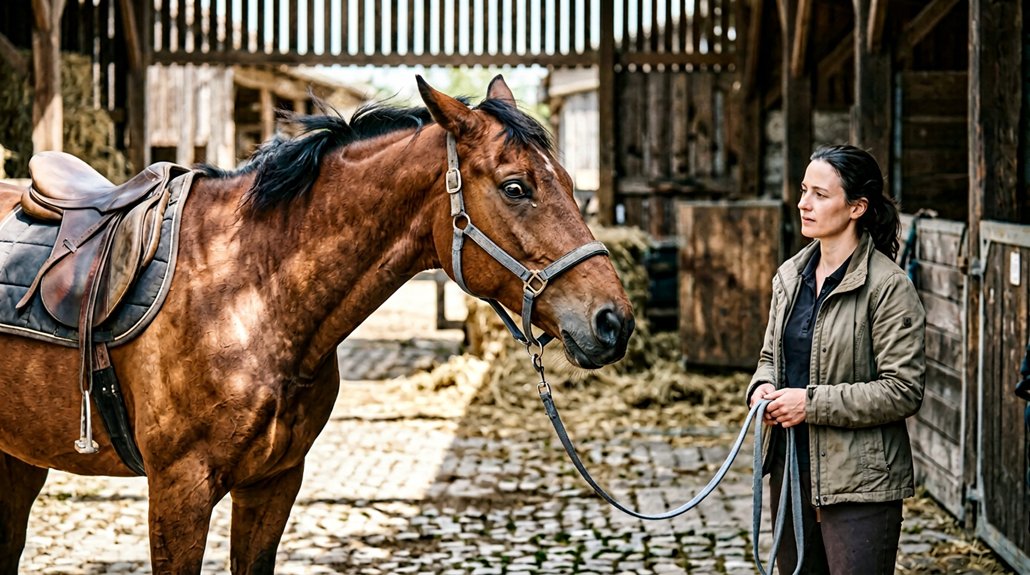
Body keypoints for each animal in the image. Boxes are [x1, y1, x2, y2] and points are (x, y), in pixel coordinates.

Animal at [0, 75, 634, 574]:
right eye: (515, 187)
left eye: (571, 185)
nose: (614, 321)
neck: (247, 290)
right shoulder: (180, 492)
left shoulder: (274, 484)